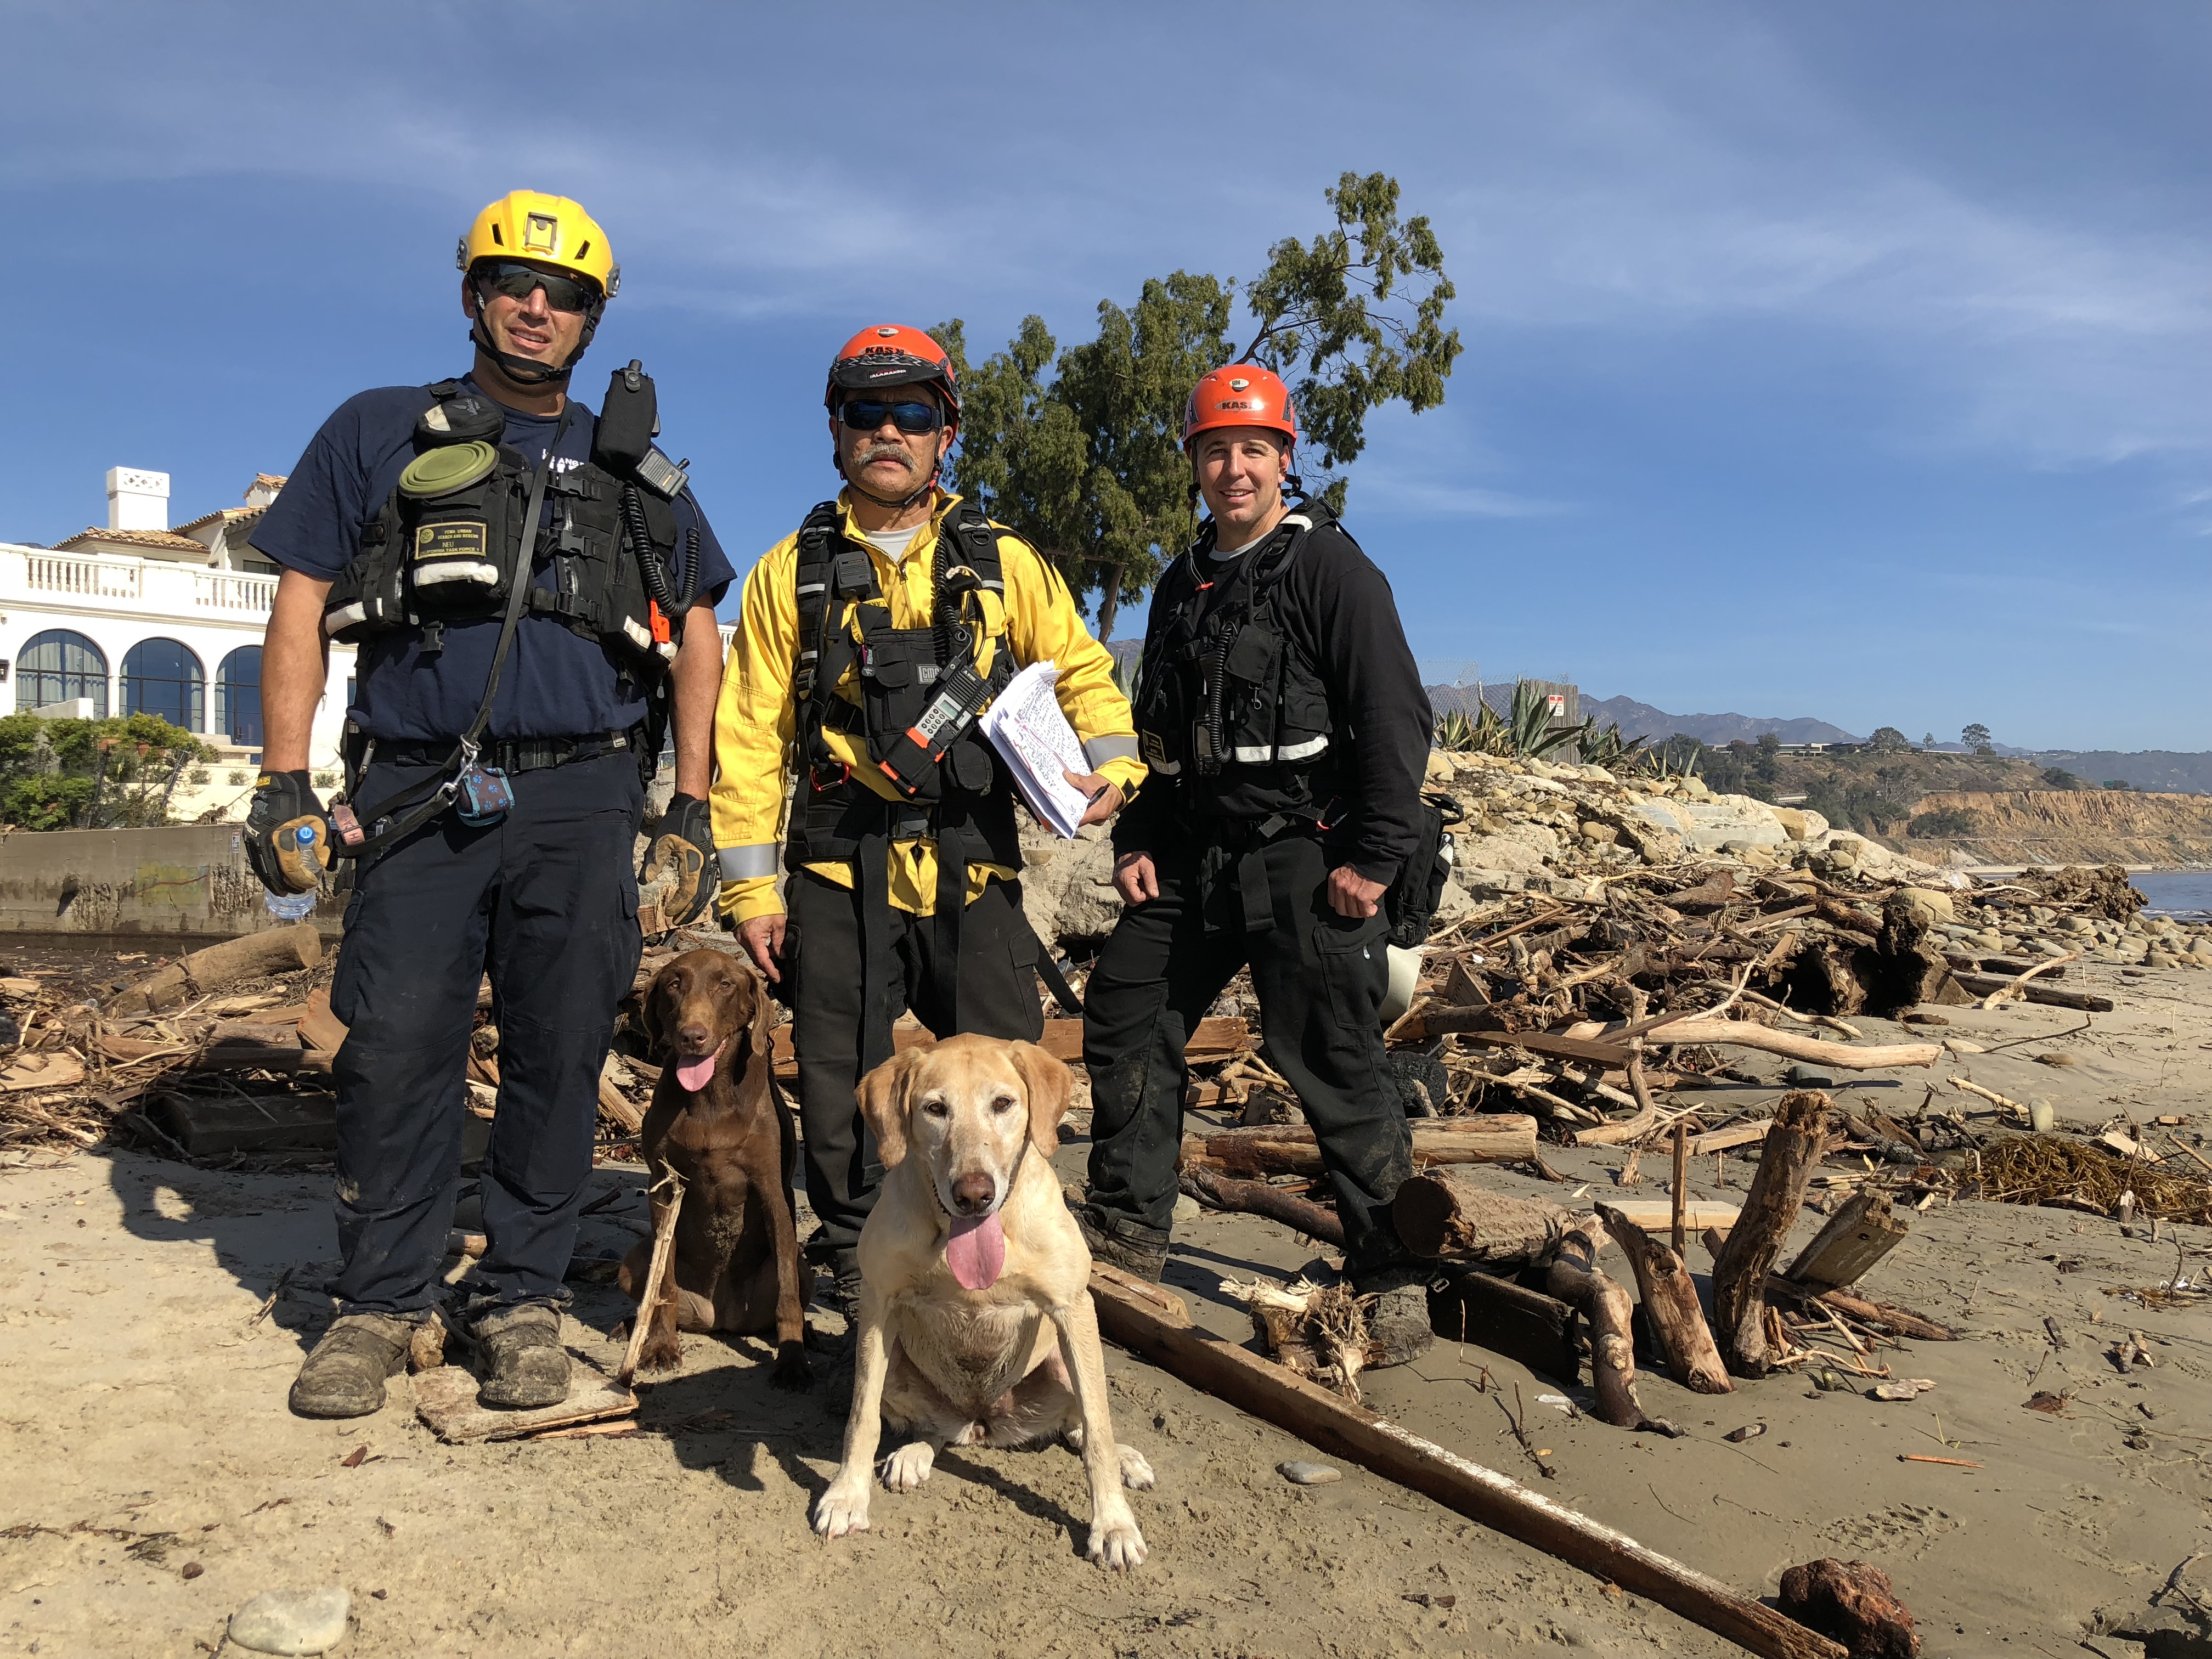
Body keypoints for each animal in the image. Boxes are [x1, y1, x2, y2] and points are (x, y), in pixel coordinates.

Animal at [818, 1040, 1159, 1575]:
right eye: (935, 1109)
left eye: (1003, 1104)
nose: (974, 1195)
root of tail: (983, 1423)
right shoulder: (878, 1305)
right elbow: (862, 1417)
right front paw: (847, 1495)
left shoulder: (1073, 1308)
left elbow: (1099, 1431)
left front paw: (1114, 1525)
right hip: (897, 1363)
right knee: (933, 1428)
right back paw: (913, 1454)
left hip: (1068, 1359)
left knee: (1080, 1421)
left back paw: (1125, 1458)